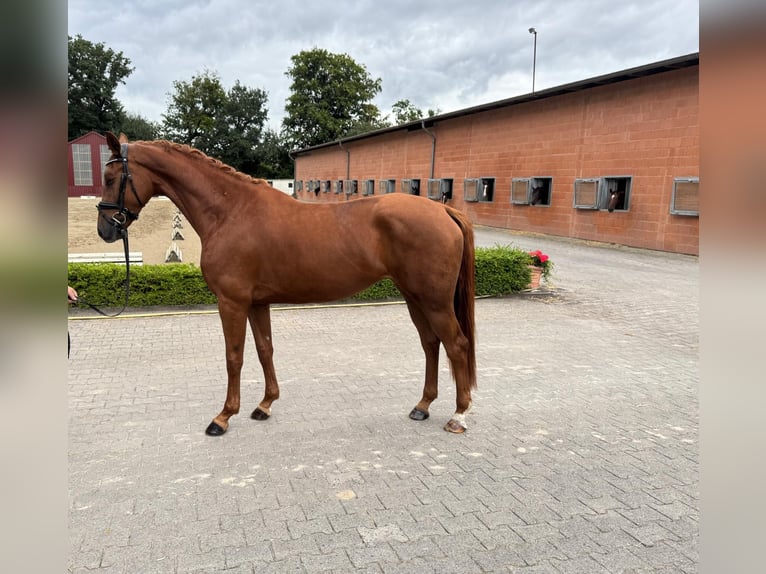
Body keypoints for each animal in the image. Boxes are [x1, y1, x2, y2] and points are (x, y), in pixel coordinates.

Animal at [97, 132, 477, 436]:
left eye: (110, 176)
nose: (105, 229)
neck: (230, 211)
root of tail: (444, 211)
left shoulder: (232, 302)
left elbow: (234, 356)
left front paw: (223, 417)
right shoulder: (256, 302)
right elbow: (264, 349)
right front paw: (264, 405)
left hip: (434, 300)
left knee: (456, 344)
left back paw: (458, 415)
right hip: (415, 296)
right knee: (431, 344)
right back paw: (422, 406)